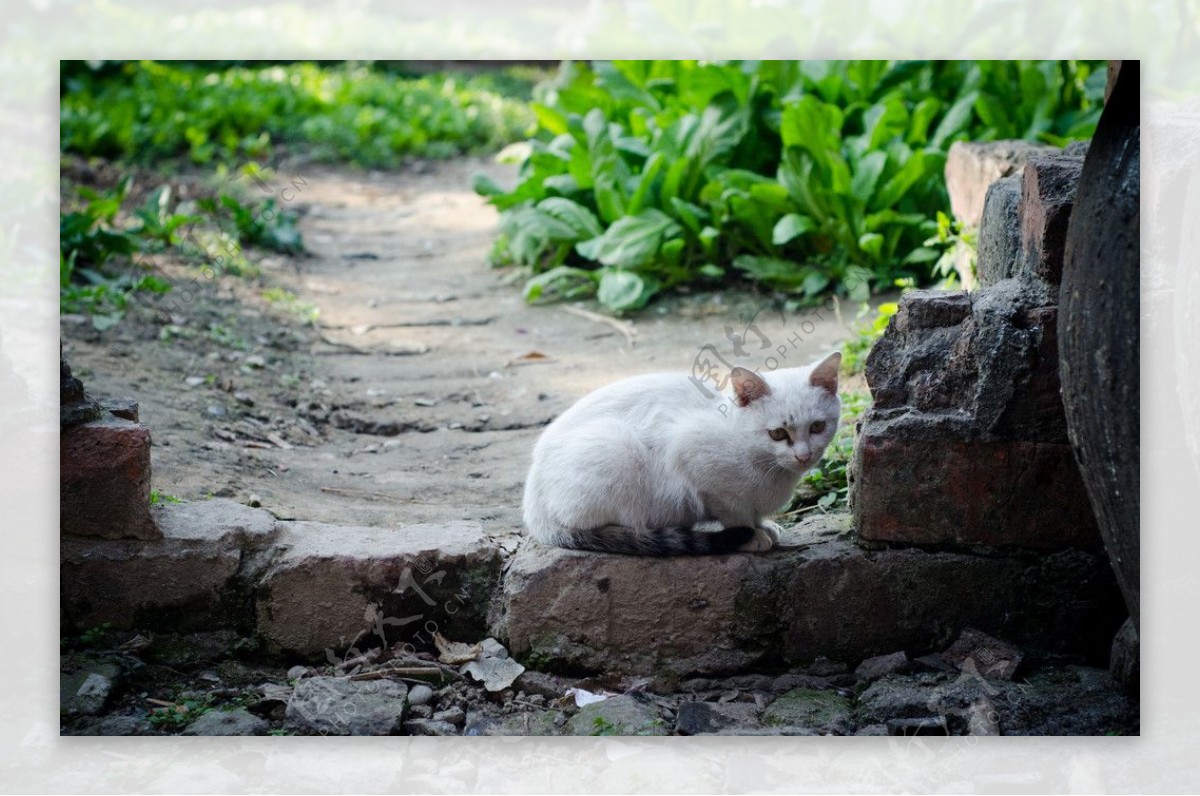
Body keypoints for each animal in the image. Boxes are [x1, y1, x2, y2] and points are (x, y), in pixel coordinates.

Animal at [520, 352, 840, 557]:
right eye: (778, 433)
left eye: (817, 426)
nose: (804, 455)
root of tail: (533, 505)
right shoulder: (694, 457)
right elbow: (735, 512)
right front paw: (752, 535)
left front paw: (763, 526)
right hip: (616, 446)